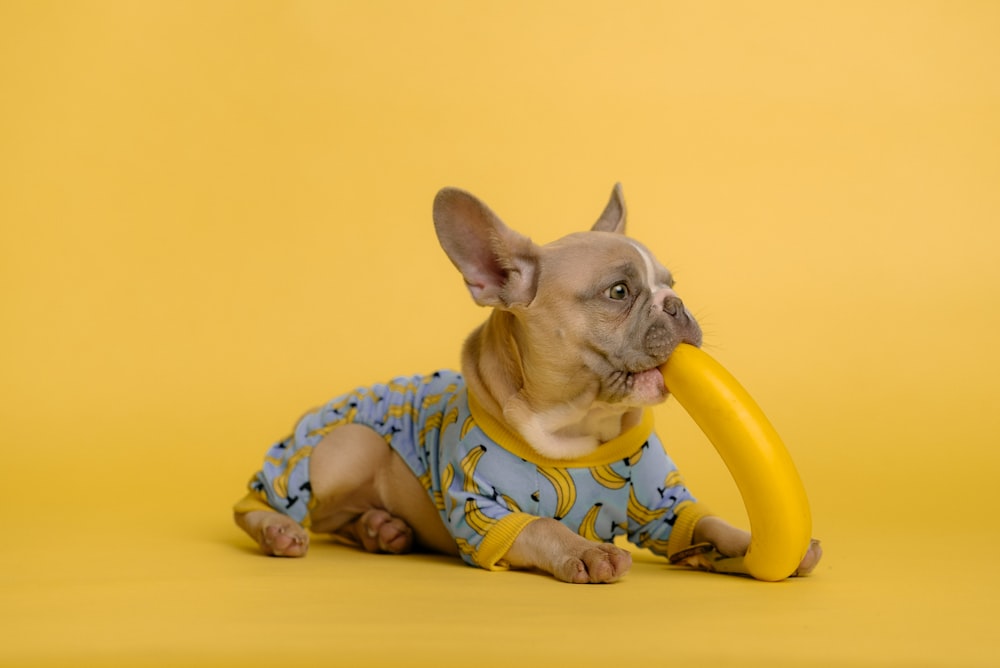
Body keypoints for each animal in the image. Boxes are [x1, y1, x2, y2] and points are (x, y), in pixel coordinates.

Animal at [234, 185, 820, 580]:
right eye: (619, 292)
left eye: (671, 284)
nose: (676, 304)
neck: (580, 426)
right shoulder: (484, 513)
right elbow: (542, 527)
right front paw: (584, 550)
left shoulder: (663, 508)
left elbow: (708, 524)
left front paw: (748, 543)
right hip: (343, 446)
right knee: (268, 503)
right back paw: (281, 530)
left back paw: (382, 529)